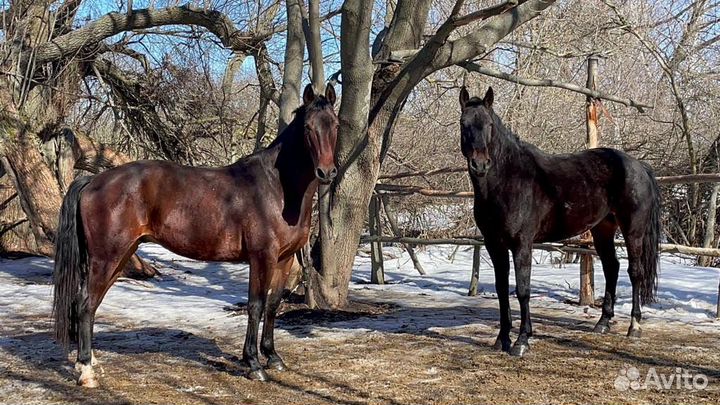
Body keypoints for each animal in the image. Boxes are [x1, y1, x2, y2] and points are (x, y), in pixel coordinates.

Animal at [53, 84, 339, 386]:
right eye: (308, 127)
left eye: (335, 124)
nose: (326, 172)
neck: (276, 189)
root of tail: (93, 181)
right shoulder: (262, 258)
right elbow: (256, 306)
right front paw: (253, 364)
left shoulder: (284, 259)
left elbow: (272, 305)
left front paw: (273, 357)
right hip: (106, 258)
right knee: (85, 304)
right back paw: (86, 371)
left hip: (120, 257)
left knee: (90, 304)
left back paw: (90, 361)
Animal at [458, 86, 661, 357]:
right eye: (464, 124)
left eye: (489, 124)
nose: (480, 165)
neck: (509, 181)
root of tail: (638, 165)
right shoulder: (494, 245)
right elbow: (502, 289)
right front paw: (502, 339)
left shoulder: (522, 244)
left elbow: (523, 290)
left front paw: (522, 341)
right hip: (602, 230)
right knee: (612, 267)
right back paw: (602, 323)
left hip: (633, 230)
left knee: (635, 272)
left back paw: (634, 327)